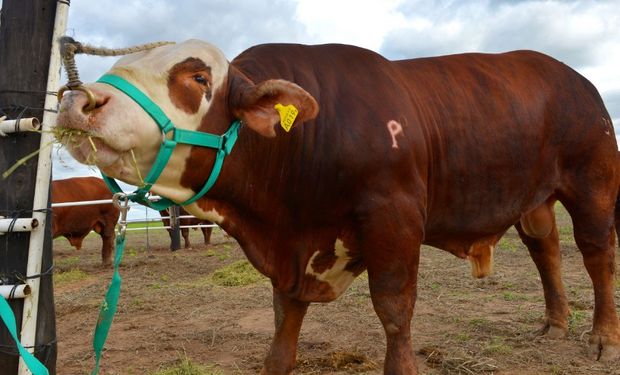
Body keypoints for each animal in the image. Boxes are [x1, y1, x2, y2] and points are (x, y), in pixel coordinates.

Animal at [54, 39, 620, 374]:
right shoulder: (292, 252)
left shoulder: (395, 219)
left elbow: (394, 311)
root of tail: (573, 76)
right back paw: (555, 323)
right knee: (546, 250)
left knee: (597, 256)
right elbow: (284, 322)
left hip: (592, 185)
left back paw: (602, 338)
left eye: (197, 78)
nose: (77, 100)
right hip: (535, 202)